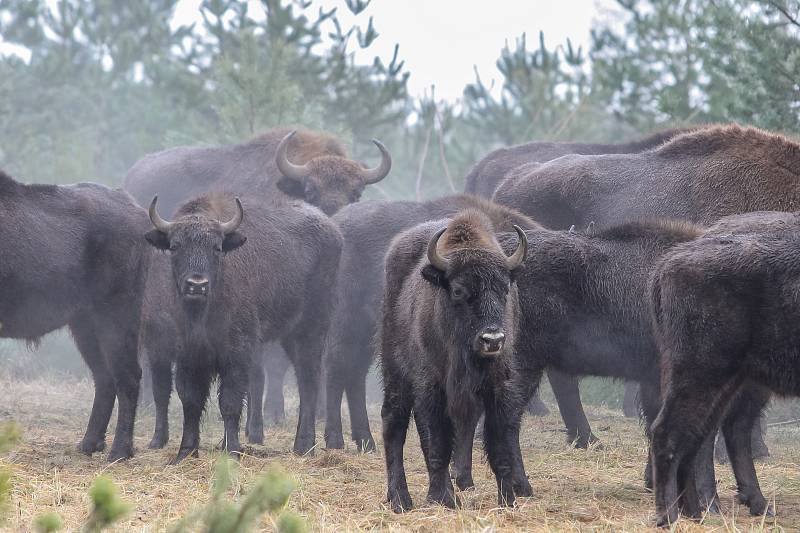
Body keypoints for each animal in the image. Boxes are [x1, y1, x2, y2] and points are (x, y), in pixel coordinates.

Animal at [0, 170, 150, 462]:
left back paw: (119, 451)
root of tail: (136, 210)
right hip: (84, 325)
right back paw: (90, 443)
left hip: (116, 316)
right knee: (104, 378)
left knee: (128, 376)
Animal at [142, 192, 340, 462]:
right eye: (174, 246)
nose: (197, 285)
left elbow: (230, 402)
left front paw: (233, 451)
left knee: (308, 379)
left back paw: (303, 445)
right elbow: (190, 401)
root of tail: (333, 230)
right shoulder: (188, 356)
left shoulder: (236, 353)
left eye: (216, 247)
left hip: (311, 328)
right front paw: (185, 452)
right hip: (291, 335)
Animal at [382, 211, 532, 512]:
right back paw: (401, 499)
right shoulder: (433, 386)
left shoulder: (498, 387)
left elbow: (499, 446)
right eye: (459, 291)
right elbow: (438, 444)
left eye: (504, 290)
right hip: (395, 371)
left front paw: (508, 500)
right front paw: (442, 499)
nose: (492, 339)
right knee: (394, 423)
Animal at [648, 211, 800, 524]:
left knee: (700, 436)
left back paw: (698, 512)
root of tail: (666, 266)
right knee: (669, 432)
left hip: (727, 383)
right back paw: (670, 516)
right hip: (701, 374)